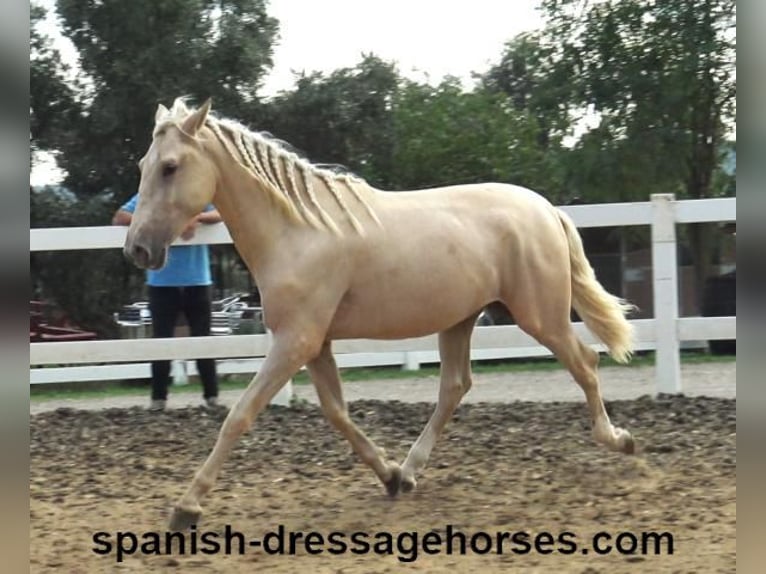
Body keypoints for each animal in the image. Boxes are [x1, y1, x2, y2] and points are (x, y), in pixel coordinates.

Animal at [126, 98, 640, 532]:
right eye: (143, 166)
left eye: (170, 167)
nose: (138, 250)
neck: (298, 231)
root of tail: (547, 209)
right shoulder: (315, 343)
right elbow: (337, 413)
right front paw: (389, 475)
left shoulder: (295, 341)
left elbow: (239, 415)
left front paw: (186, 508)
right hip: (461, 320)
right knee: (455, 386)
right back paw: (410, 471)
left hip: (540, 315)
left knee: (584, 362)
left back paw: (620, 440)